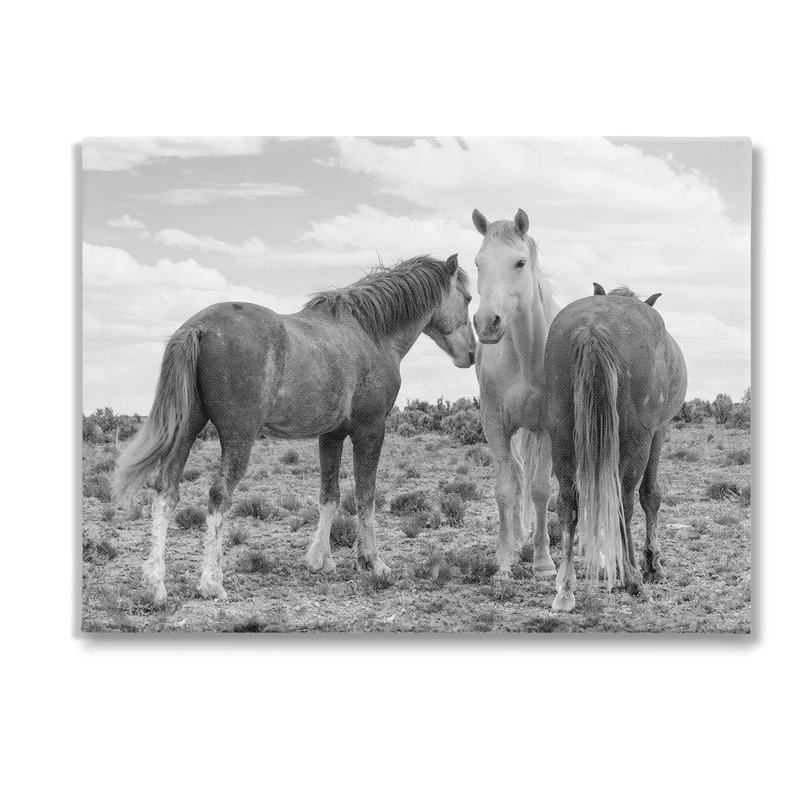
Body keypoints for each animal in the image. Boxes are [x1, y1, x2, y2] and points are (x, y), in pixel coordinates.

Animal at [114, 254, 476, 605]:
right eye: (469, 298)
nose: (471, 354)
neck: (371, 334)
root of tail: (198, 327)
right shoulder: (370, 429)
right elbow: (366, 496)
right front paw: (372, 562)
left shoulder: (331, 435)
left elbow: (330, 496)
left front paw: (319, 559)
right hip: (238, 439)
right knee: (218, 496)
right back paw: (211, 584)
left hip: (188, 428)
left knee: (167, 491)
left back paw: (156, 585)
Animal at [543, 286, 687, 611]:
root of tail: (593, 328)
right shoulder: (658, 431)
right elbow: (650, 496)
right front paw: (653, 566)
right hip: (637, 440)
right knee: (625, 502)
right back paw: (634, 579)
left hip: (562, 436)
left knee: (567, 504)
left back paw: (565, 588)